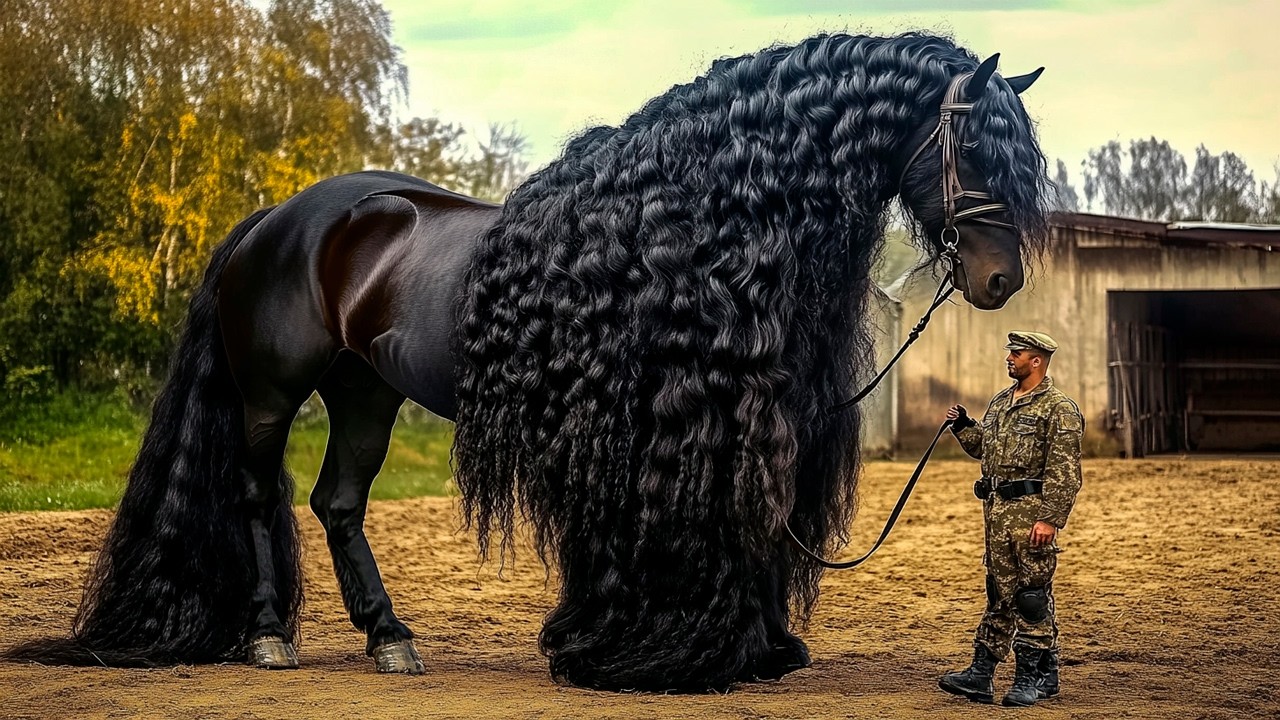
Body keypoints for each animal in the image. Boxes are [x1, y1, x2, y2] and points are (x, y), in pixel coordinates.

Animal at [8, 32, 1050, 692]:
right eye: (971, 145)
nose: (1002, 280)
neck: (693, 220)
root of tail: (278, 216)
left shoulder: (750, 425)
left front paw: (757, 650)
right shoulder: (660, 431)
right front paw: (640, 654)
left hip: (364, 394)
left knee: (337, 504)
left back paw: (390, 640)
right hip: (272, 393)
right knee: (261, 494)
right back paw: (268, 637)